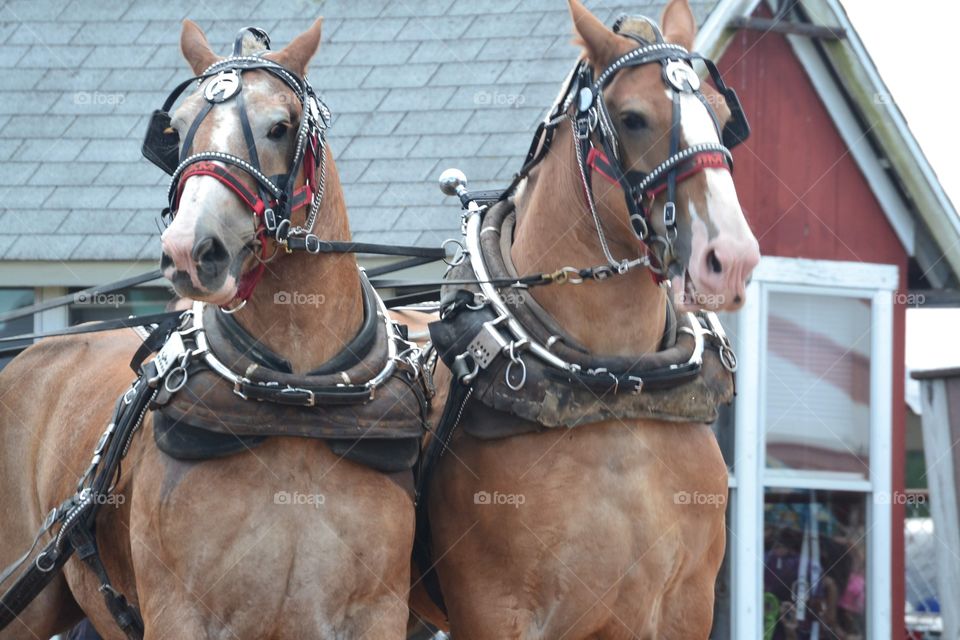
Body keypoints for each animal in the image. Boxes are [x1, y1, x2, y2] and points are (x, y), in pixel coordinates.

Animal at [0, 20, 418, 639]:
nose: (188, 251)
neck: (294, 399)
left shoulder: (378, 612)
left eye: (280, 126)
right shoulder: (178, 613)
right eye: (174, 131)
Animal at [408, 1, 761, 637]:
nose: (731, 258)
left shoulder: (687, 606)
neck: (616, 387)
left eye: (723, 119)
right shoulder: (495, 611)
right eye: (633, 118)